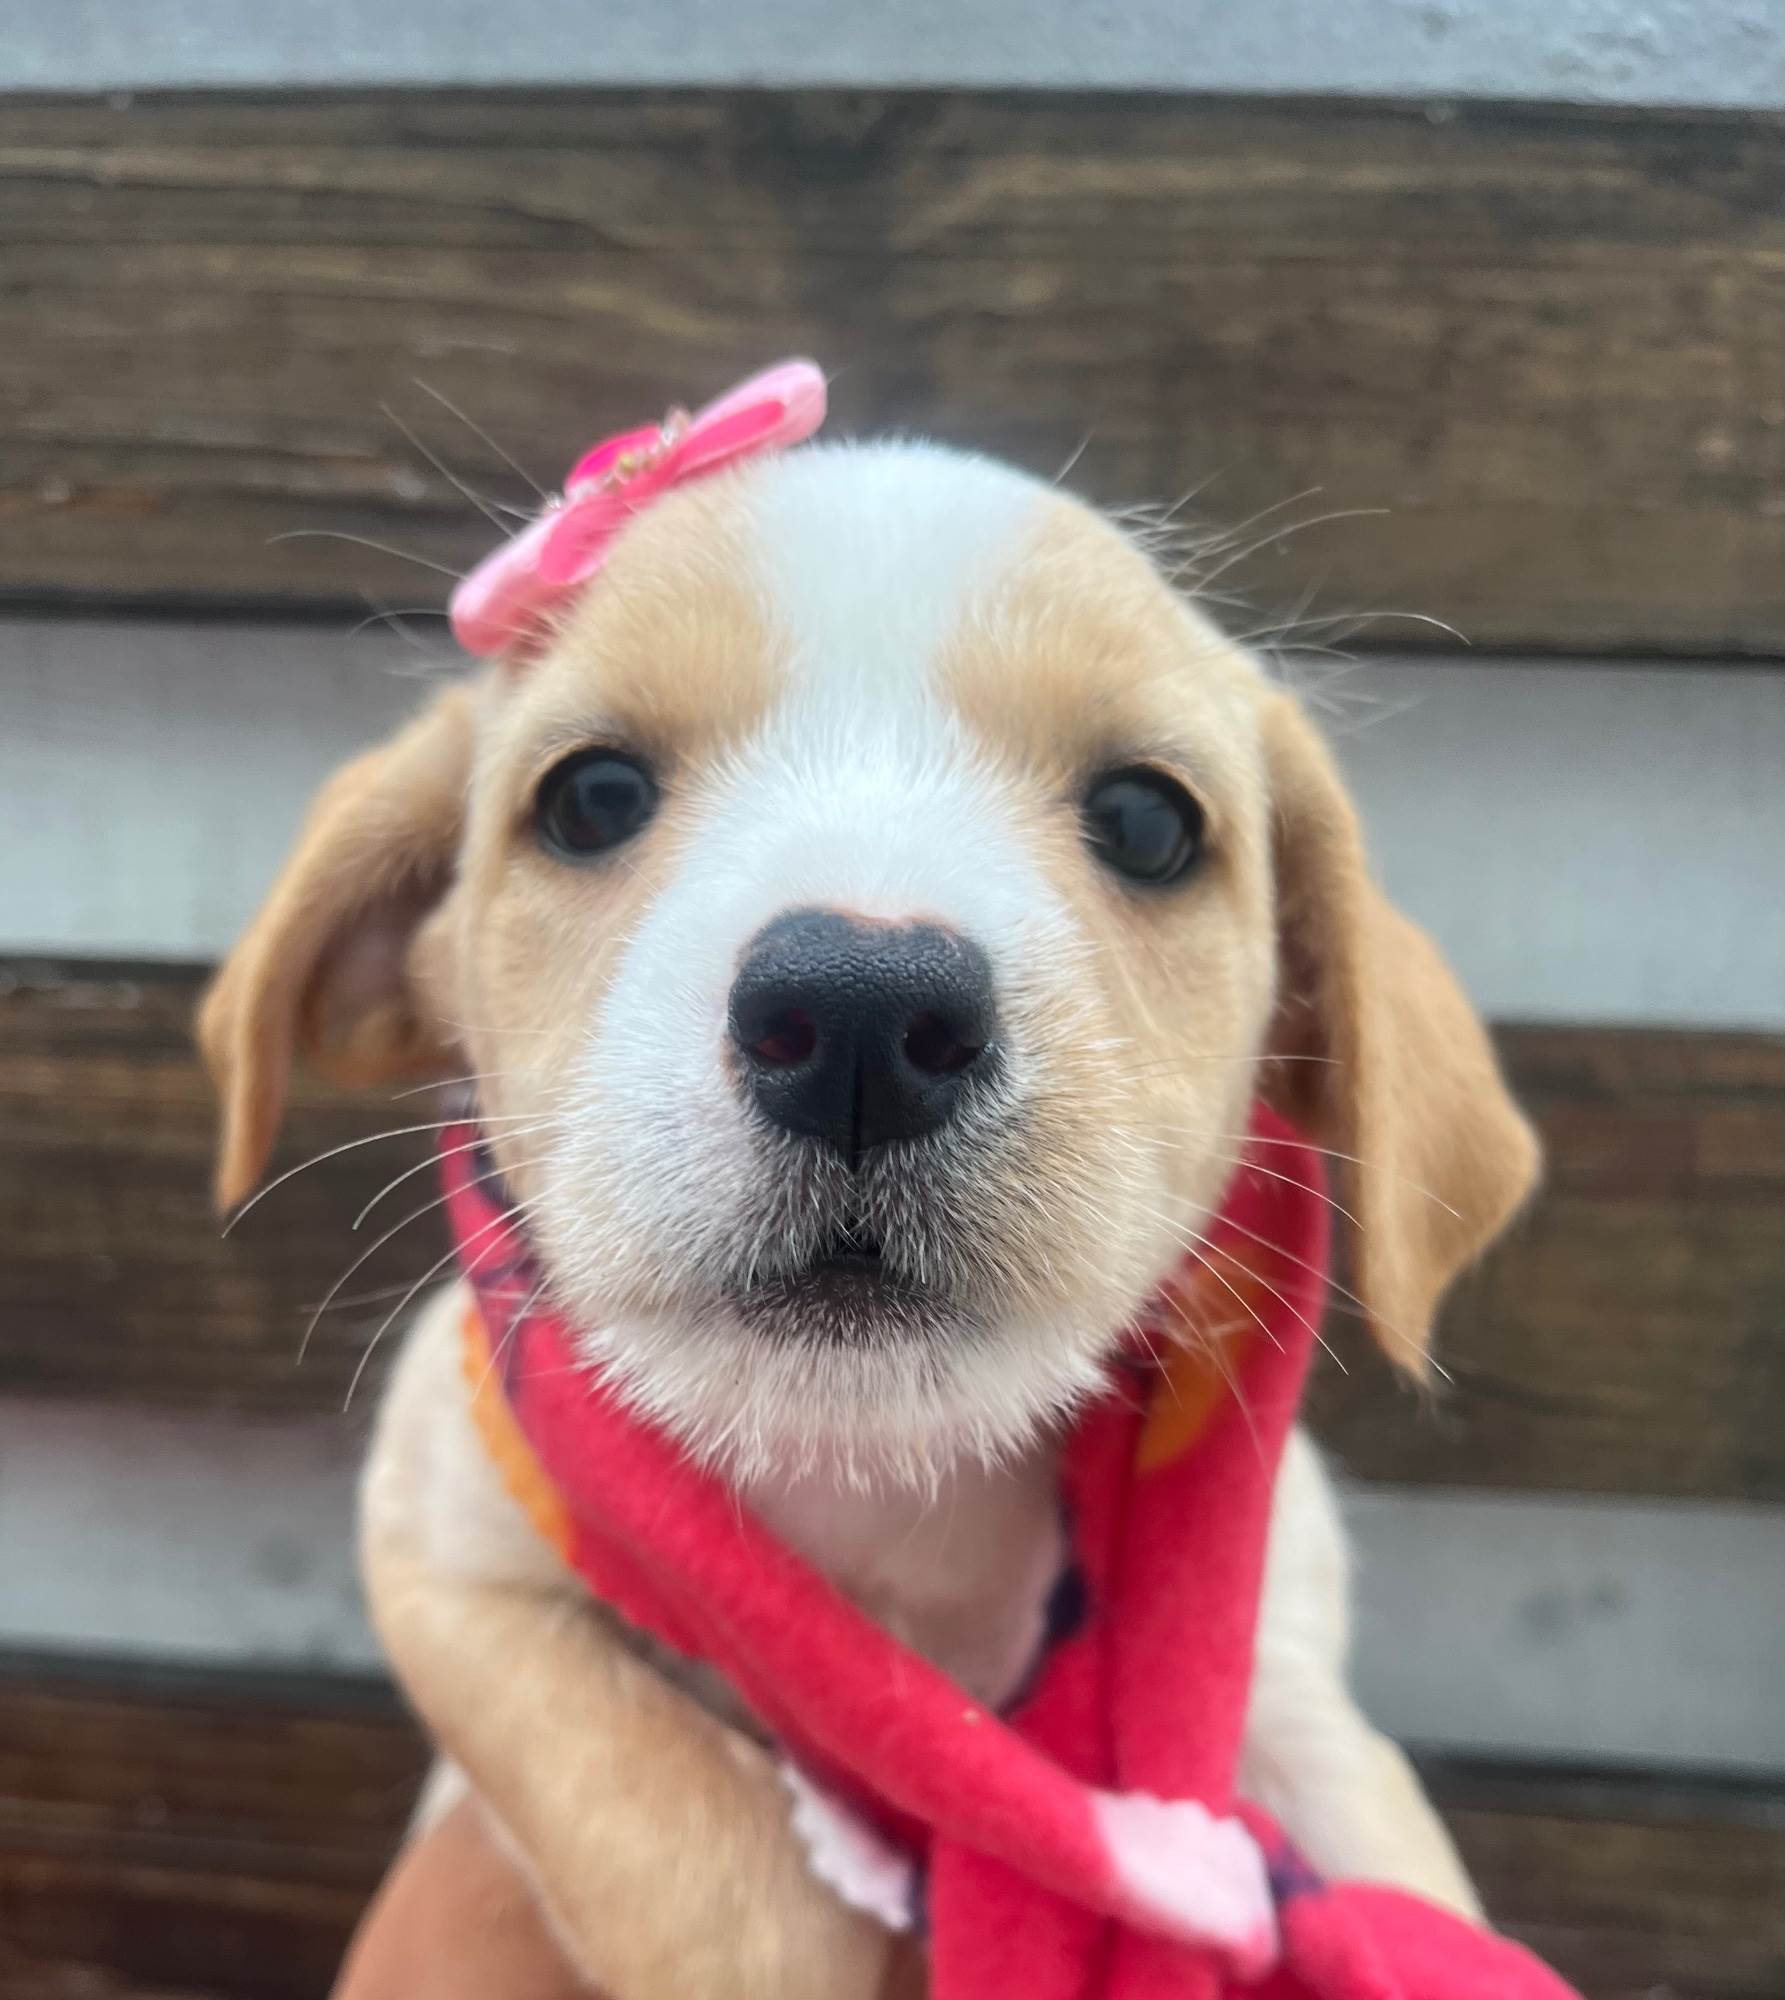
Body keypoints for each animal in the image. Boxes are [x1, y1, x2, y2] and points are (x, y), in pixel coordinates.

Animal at [200, 436, 1538, 1999]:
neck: (875, 1482)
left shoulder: (1287, 1692)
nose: (859, 1019)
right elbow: (689, 1845)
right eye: (590, 797)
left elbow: (1388, 1872)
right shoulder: (446, 1554)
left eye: (1149, 820)